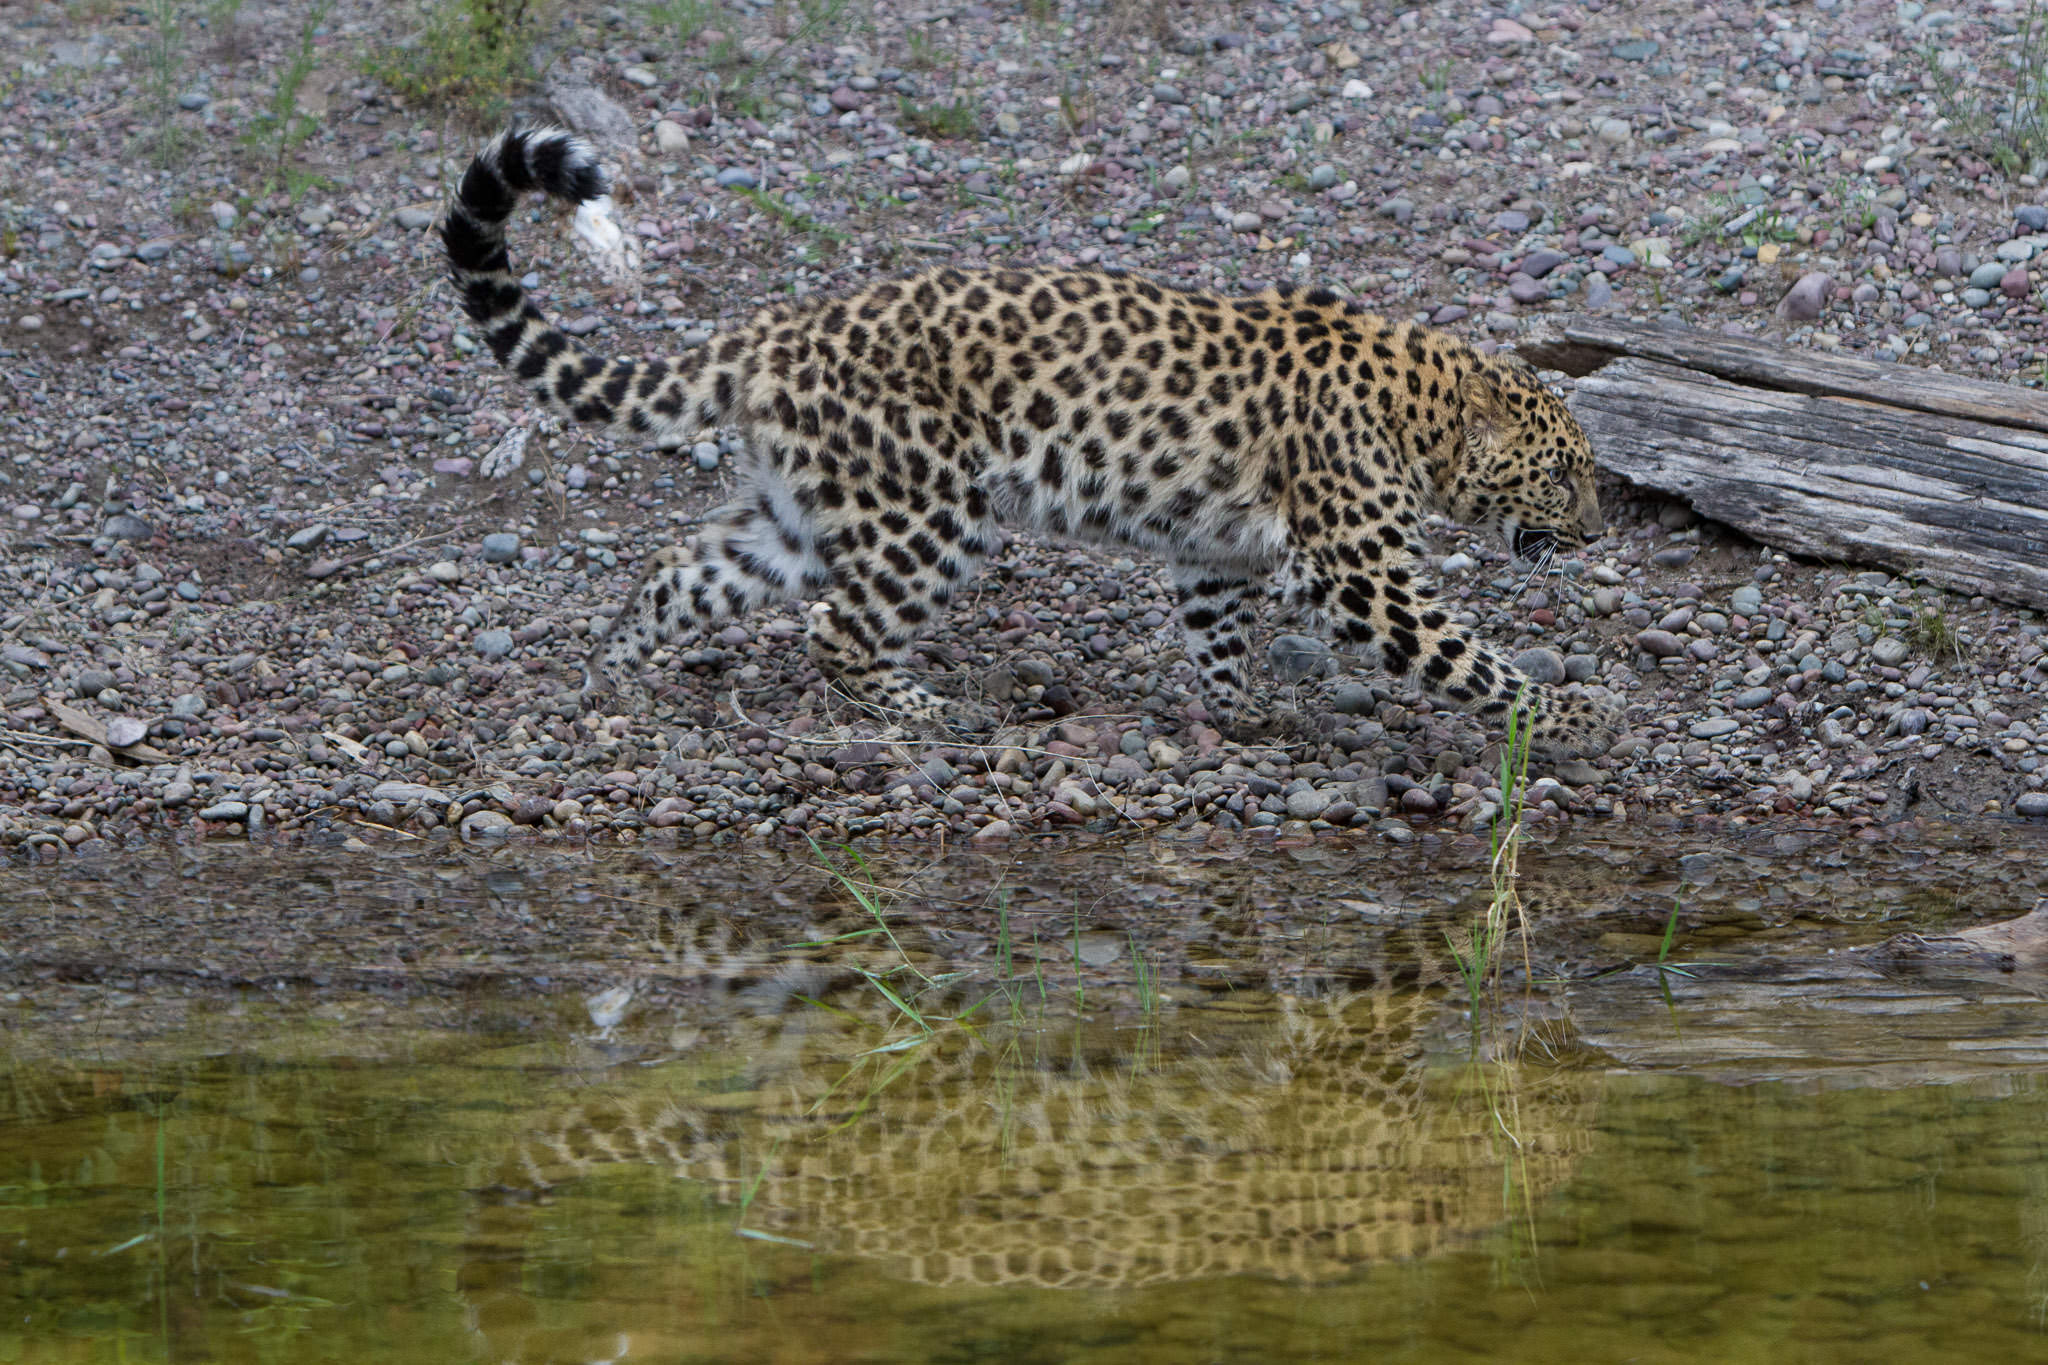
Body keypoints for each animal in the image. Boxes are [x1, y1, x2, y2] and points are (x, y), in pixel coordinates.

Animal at [440, 125, 1622, 757]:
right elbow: (1466, 656)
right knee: (837, 628)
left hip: (797, 510)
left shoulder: (1214, 553)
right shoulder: (1363, 572)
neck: (1423, 410)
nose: (1599, 531)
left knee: (683, 569)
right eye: (1563, 475)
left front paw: (1241, 716)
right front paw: (1566, 713)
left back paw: (611, 679)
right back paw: (932, 709)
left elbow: (1217, 637)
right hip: (927, 513)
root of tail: (773, 330)